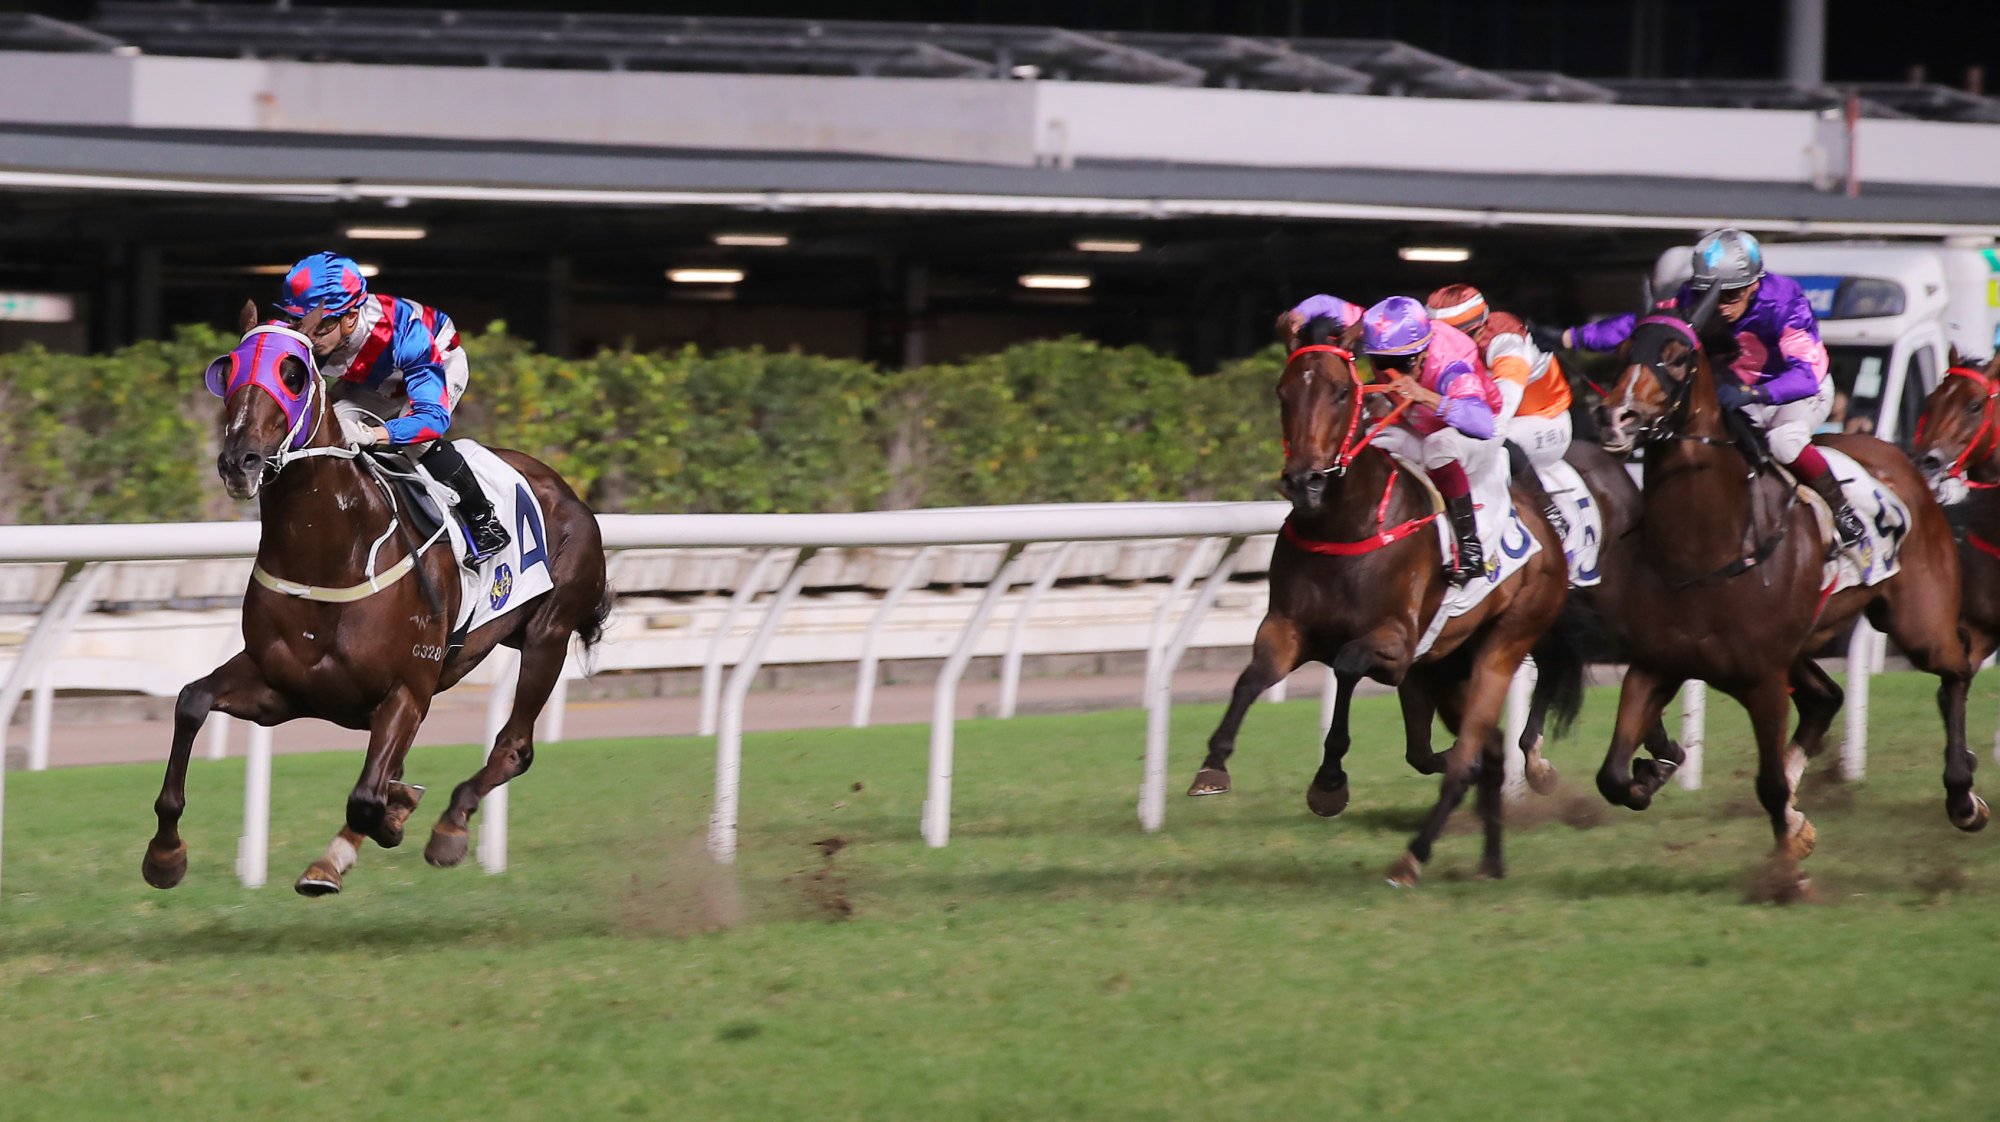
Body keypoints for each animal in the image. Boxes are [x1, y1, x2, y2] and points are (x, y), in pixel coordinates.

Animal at [143, 302, 608, 896]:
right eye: (227, 371)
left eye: (293, 375)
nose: (239, 461)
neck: (331, 552)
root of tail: (566, 491)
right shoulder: (282, 690)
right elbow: (191, 702)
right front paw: (165, 852)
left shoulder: (408, 690)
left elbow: (366, 798)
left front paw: (359, 840)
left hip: (548, 633)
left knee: (515, 746)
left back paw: (450, 827)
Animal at [1184, 316, 1576, 884]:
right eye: (1282, 391)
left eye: (1341, 392)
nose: (1304, 481)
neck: (1345, 525)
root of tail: (1549, 527)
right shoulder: (1286, 627)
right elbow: (1252, 678)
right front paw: (1213, 765)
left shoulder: (1396, 643)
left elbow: (1347, 665)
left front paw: (1329, 780)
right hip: (1445, 667)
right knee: (1478, 753)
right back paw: (1490, 860)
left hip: (1504, 643)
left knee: (1467, 757)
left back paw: (1413, 857)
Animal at [1592, 286, 1984, 876]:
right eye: (1621, 352)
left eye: (1678, 357)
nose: (1619, 418)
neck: (1703, 548)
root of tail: (1907, 464)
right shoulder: (1655, 663)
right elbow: (1612, 776)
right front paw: (1652, 771)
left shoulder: (1763, 678)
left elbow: (1770, 784)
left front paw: (1787, 862)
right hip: (1805, 641)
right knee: (1827, 698)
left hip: (1917, 621)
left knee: (1955, 670)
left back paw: (1963, 795)